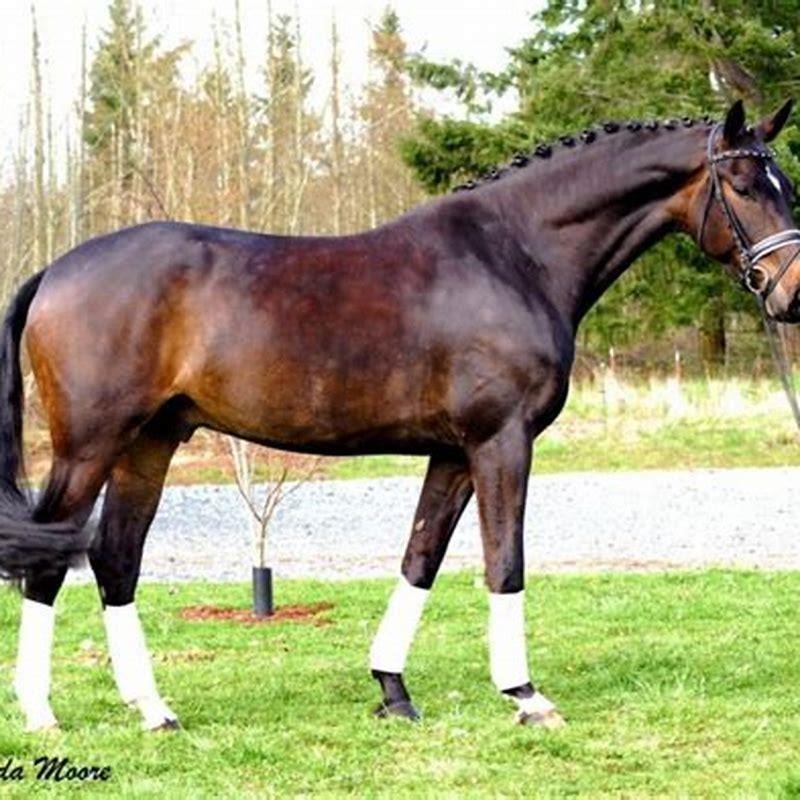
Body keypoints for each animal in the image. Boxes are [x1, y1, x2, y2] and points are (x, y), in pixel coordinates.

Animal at [2, 99, 798, 732]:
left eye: (783, 183)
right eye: (742, 184)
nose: (790, 293)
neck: (516, 254)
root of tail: (55, 271)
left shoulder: (453, 452)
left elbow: (422, 557)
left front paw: (392, 689)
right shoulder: (502, 441)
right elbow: (504, 561)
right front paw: (525, 695)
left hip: (151, 442)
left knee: (115, 560)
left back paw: (153, 709)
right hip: (90, 446)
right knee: (50, 562)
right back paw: (42, 714)